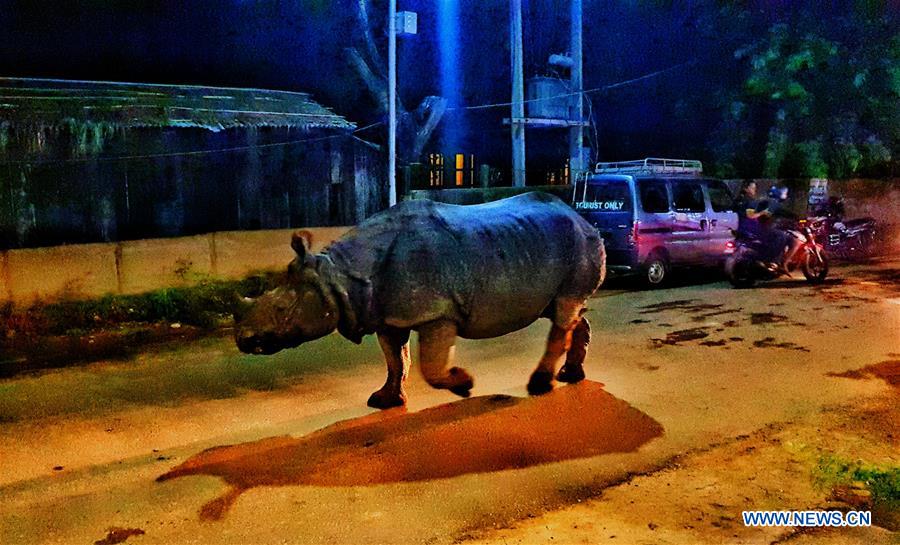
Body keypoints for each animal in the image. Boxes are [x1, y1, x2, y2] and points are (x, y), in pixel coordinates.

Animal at [235, 192, 606, 409]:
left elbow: (431, 367)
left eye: (282, 309)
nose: (243, 341)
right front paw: (383, 401)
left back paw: (540, 386)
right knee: (566, 312)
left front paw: (464, 384)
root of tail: (581, 216)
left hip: (577, 243)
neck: (337, 274)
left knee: (564, 309)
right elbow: (395, 360)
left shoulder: (437, 313)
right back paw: (571, 376)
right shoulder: (382, 314)